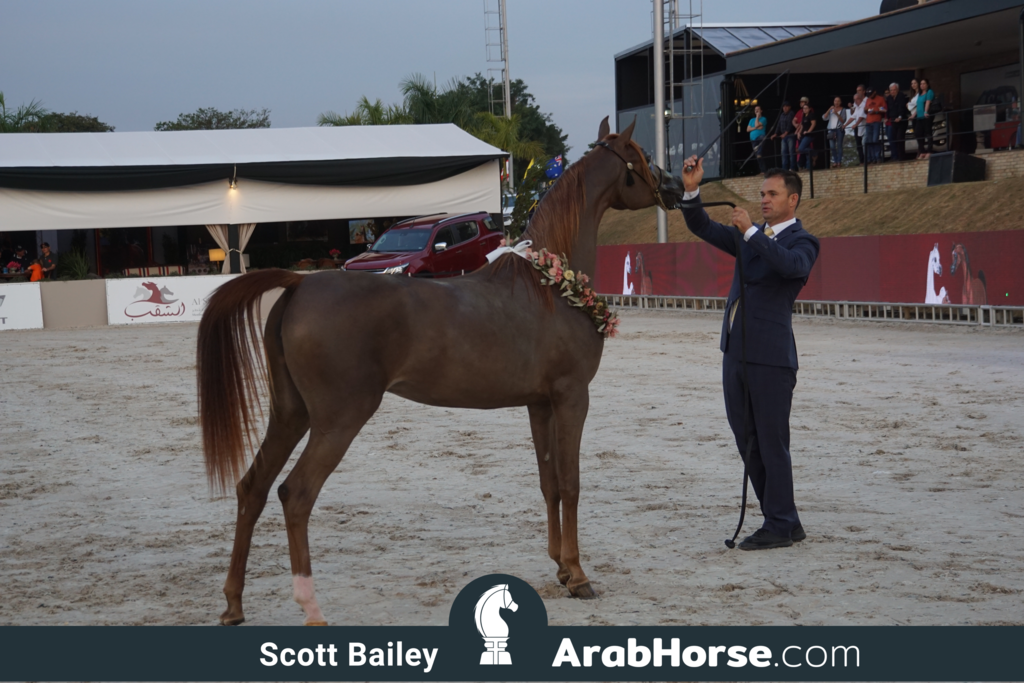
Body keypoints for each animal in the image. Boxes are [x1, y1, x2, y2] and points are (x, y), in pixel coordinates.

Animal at [196, 117, 680, 626]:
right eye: (644, 154)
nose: (675, 186)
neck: (550, 285)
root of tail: (299, 285)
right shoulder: (572, 398)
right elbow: (571, 482)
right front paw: (580, 576)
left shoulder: (540, 404)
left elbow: (549, 483)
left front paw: (562, 570)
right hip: (338, 420)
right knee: (296, 494)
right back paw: (311, 609)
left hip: (291, 415)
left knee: (253, 488)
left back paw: (233, 605)